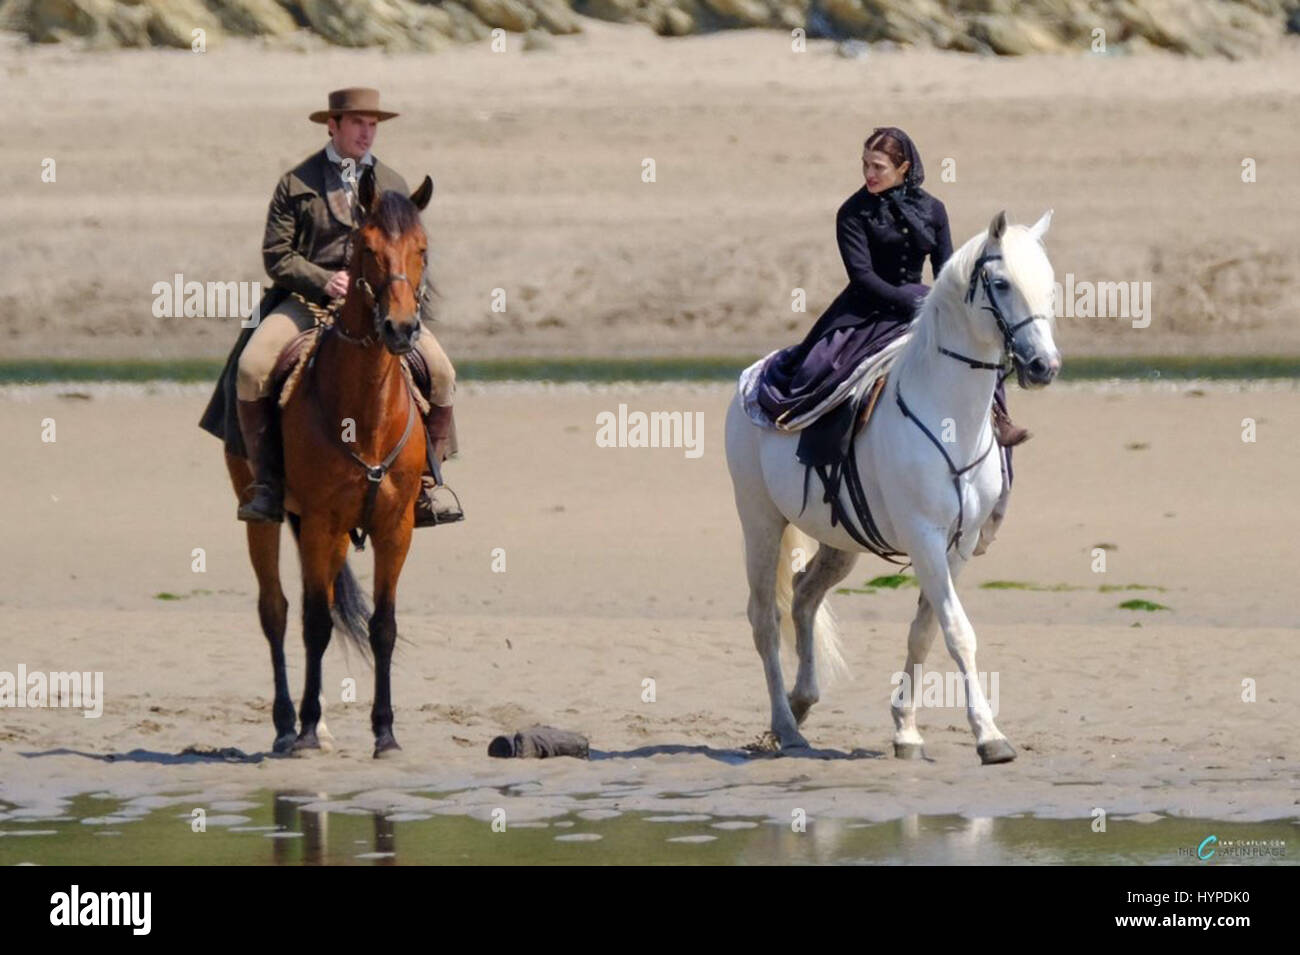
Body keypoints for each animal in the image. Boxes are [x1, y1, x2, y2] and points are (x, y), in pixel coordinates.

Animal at [227, 167, 436, 758]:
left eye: (422, 250)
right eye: (367, 249)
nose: (401, 329)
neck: (364, 412)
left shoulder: (394, 527)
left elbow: (383, 626)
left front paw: (385, 733)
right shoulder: (320, 520)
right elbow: (316, 625)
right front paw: (304, 730)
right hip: (268, 517)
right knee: (277, 612)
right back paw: (287, 725)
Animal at [728, 213, 1060, 764]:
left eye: (1051, 287)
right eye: (1001, 284)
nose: (1043, 367)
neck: (949, 414)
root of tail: (753, 375)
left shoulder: (958, 544)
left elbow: (925, 632)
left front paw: (906, 729)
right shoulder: (924, 537)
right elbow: (957, 632)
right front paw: (989, 737)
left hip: (840, 541)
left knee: (803, 596)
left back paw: (801, 702)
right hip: (760, 522)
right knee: (765, 620)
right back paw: (787, 728)